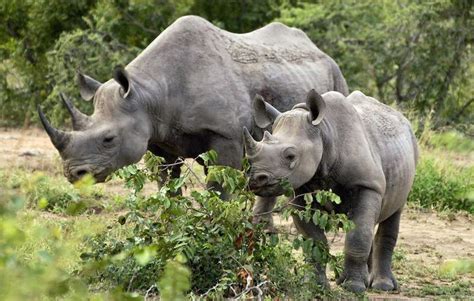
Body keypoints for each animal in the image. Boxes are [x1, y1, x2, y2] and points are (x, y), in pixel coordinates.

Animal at [244, 89, 418, 290]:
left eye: (290, 156)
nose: (256, 178)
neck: (323, 132)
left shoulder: (368, 184)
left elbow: (358, 236)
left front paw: (354, 287)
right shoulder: (301, 190)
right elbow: (314, 239)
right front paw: (314, 285)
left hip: (411, 153)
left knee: (393, 213)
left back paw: (382, 286)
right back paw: (365, 281)